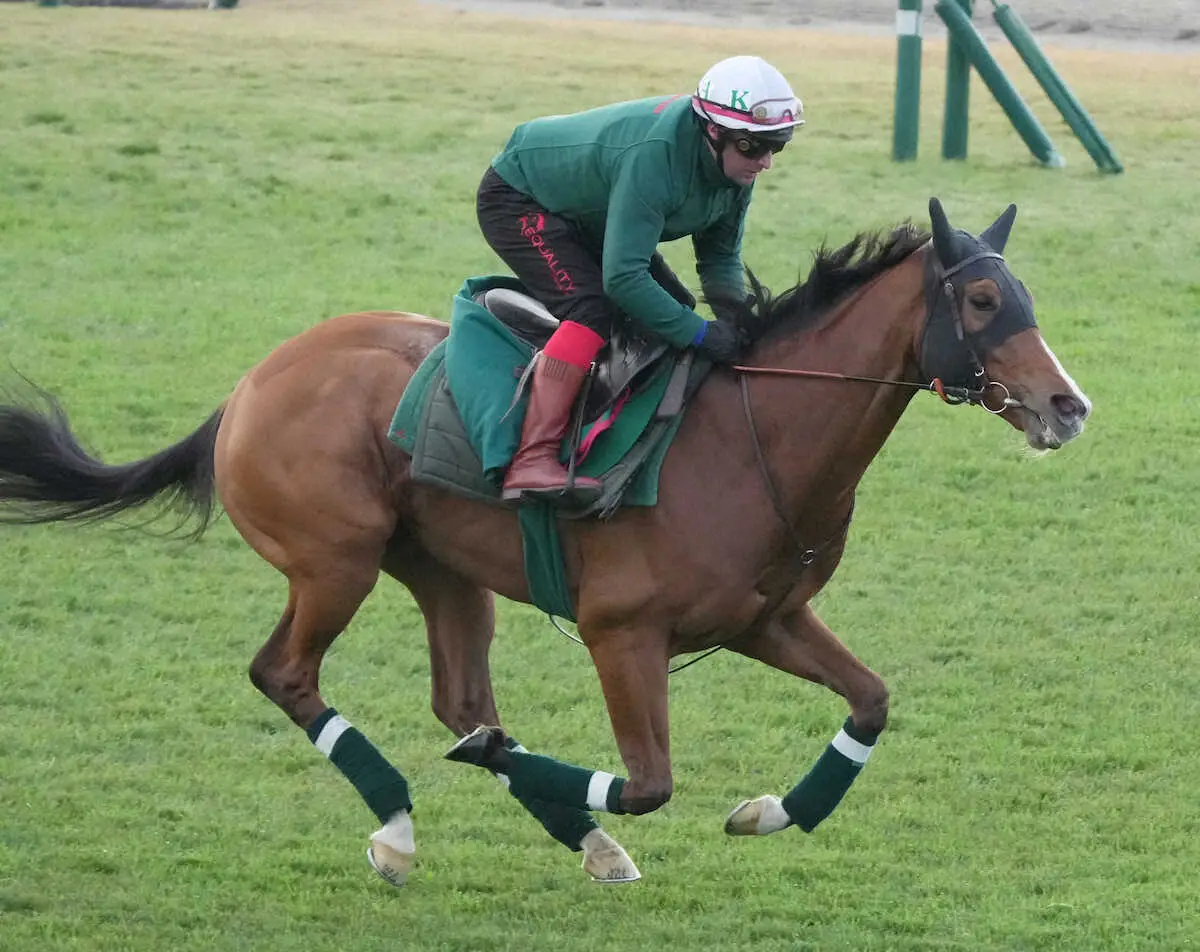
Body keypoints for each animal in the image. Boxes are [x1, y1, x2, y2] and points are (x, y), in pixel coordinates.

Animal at [0, 199, 1090, 886]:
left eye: (1026, 296)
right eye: (982, 301)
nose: (1067, 405)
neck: (757, 438)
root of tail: (252, 382)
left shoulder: (765, 620)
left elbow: (871, 700)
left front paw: (771, 810)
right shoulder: (622, 632)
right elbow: (648, 784)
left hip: (442, 570)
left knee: (460, 699)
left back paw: (529, 808)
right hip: (334, 561)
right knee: (289, 675)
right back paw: (400, 825)